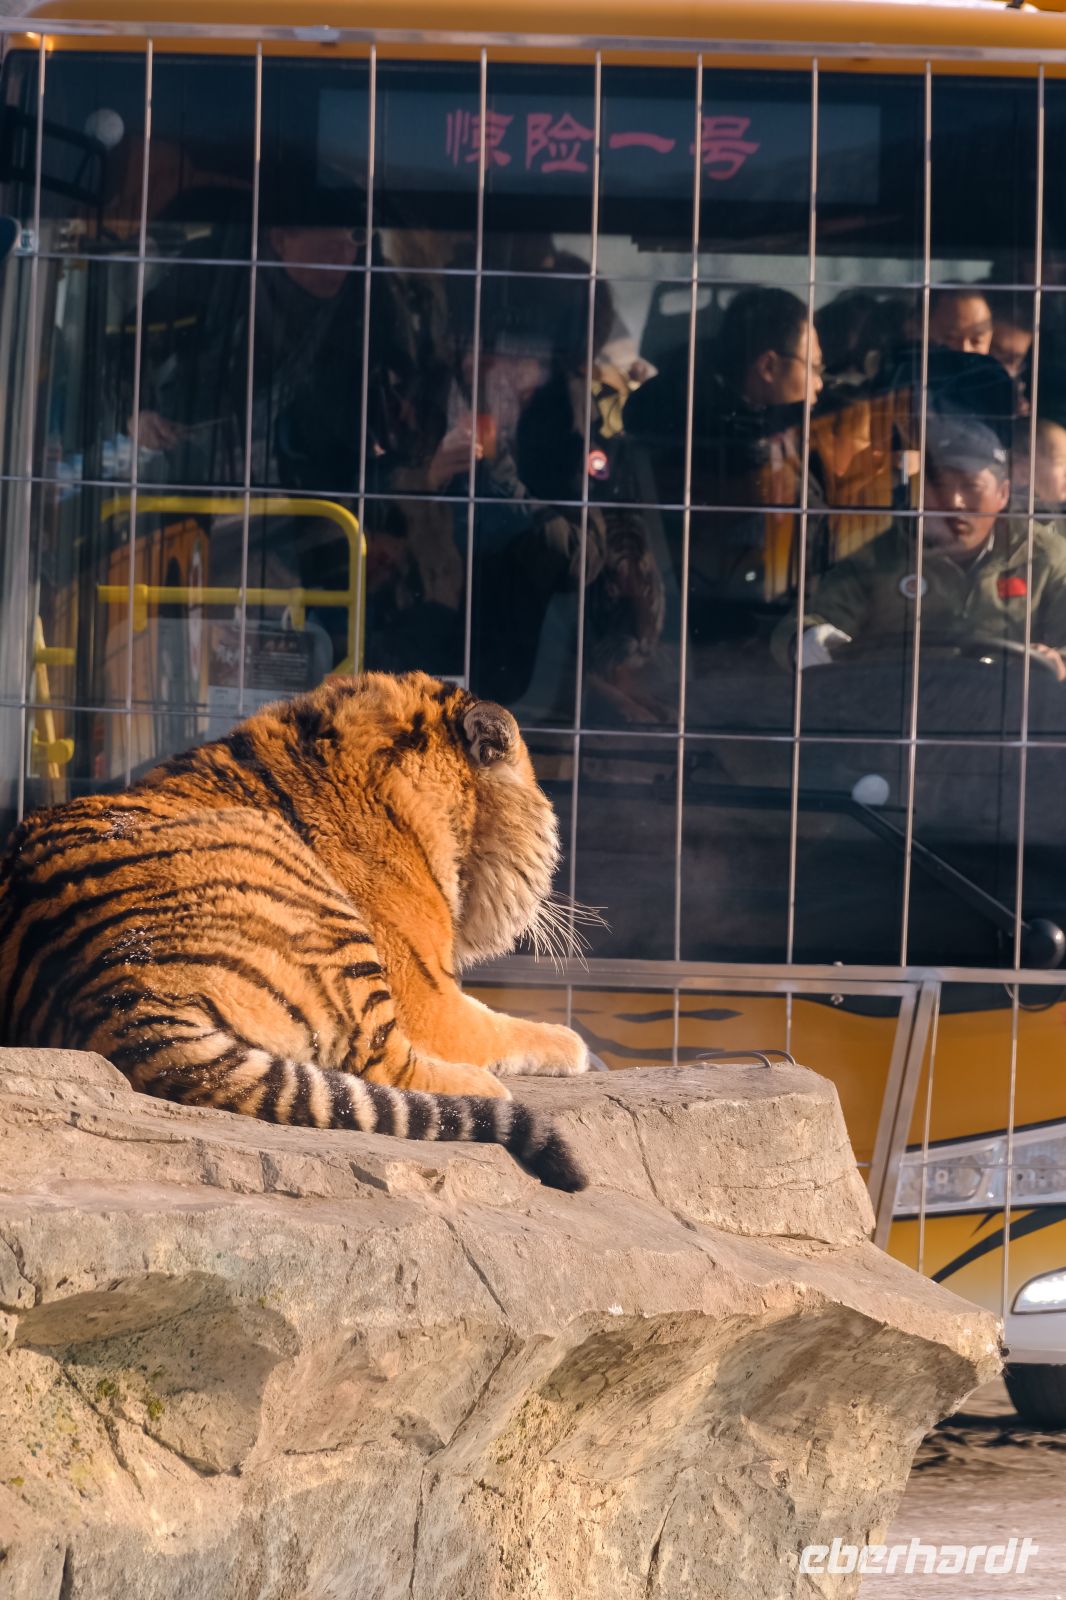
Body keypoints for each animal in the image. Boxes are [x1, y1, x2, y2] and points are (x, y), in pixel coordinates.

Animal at [0, 672, 591, 1190]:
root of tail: (117, 993)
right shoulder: (429, 998)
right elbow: (504, 1026)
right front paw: (573, 1043)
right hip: (324, 915)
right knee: (385, 1067)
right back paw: (488, 1088)